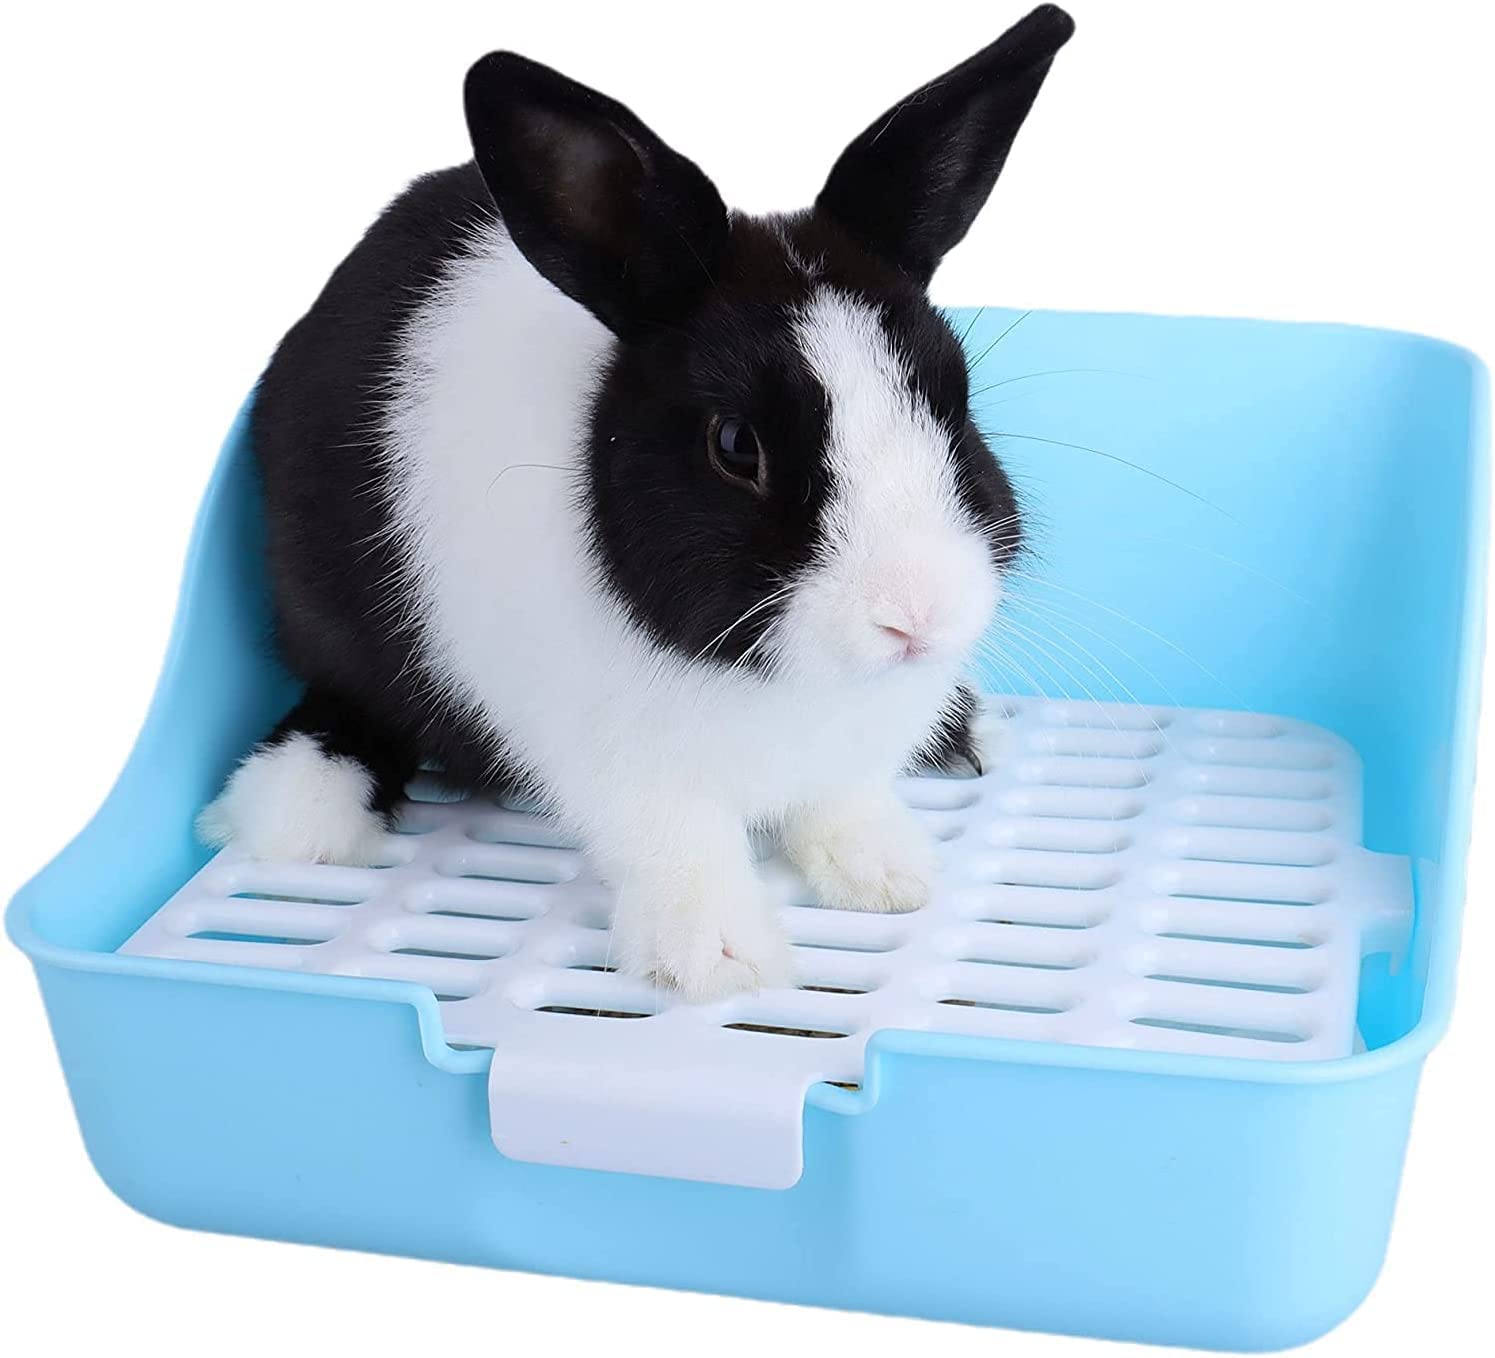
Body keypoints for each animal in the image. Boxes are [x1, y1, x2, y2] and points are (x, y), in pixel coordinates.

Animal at [199, 5, 1075, 999]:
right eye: (735, 446)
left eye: (953, 403)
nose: (915, 617)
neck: (781, 682)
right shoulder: (620, 769)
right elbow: (679, 847)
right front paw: (716, 962)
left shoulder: (843, 758)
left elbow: (842, 803)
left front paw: (888, 880)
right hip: (320, 608)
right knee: (344, 698)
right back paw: (300, 814)